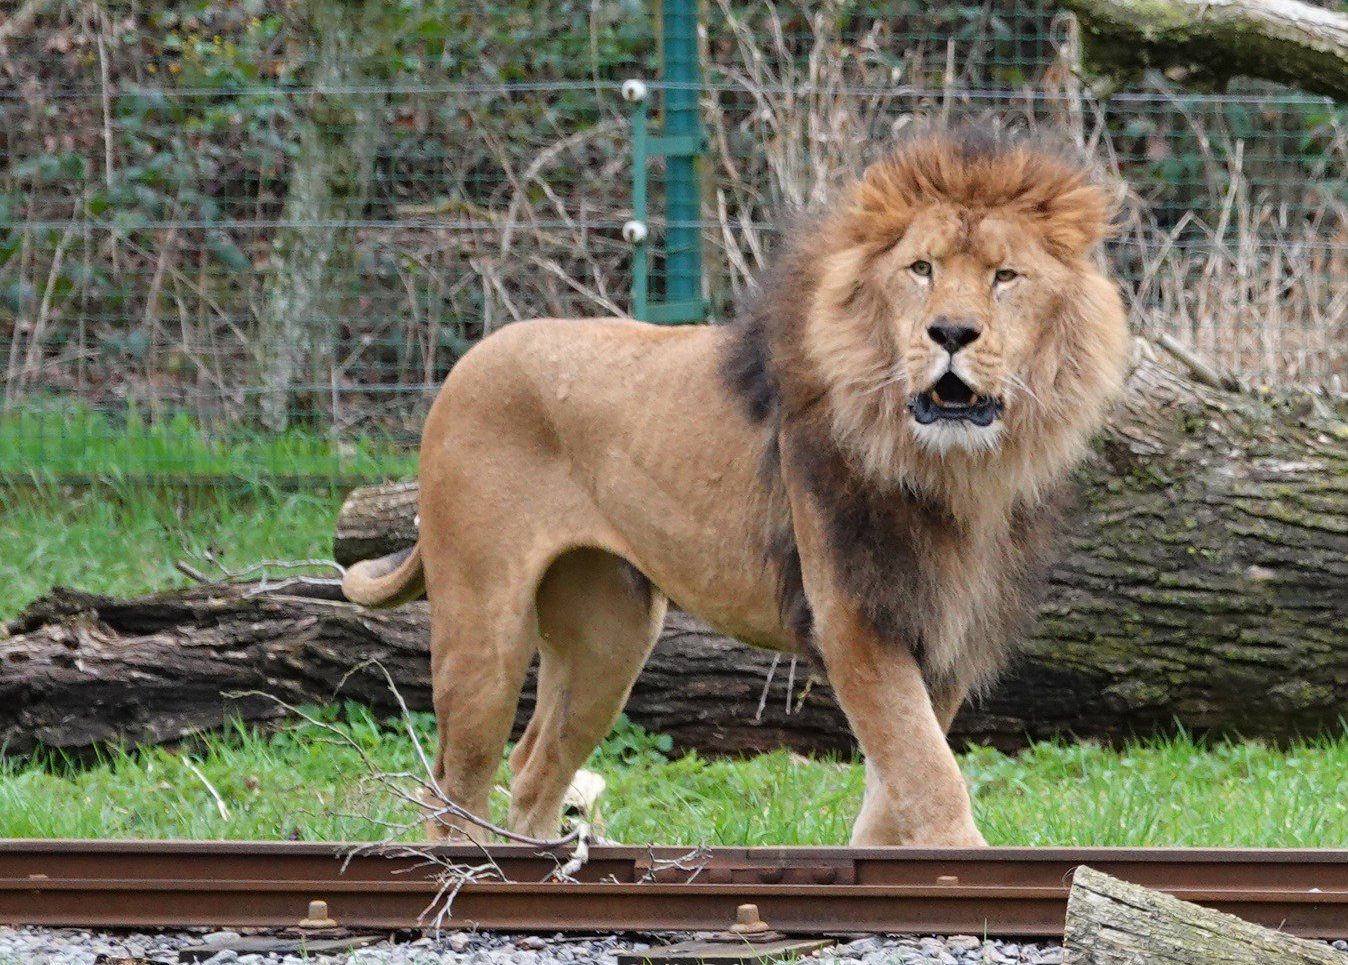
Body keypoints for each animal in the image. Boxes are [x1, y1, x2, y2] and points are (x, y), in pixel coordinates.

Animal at [342, 126, 1132, 846]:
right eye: (921, 268)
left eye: (1005, 276)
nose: (951, 332)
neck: (956, 470)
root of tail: (467, 362)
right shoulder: (853, 616)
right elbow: (928, 776)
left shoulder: (942, 631)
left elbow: (898, 785)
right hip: (485, 624)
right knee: (455, 783)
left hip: (610, 635)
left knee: (535, 767)